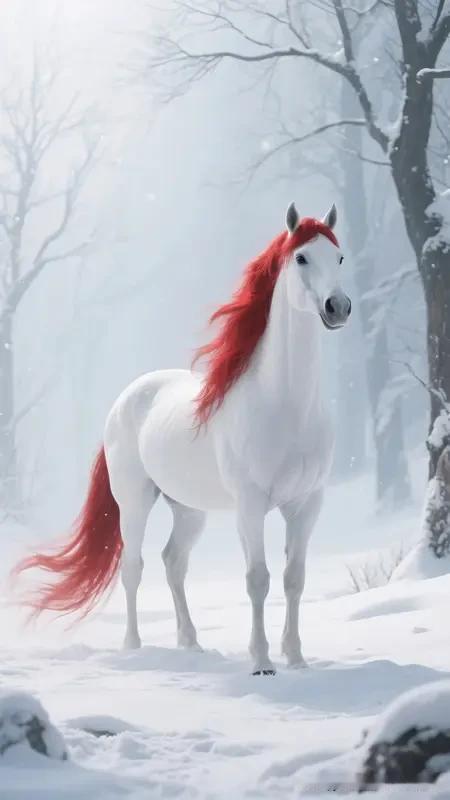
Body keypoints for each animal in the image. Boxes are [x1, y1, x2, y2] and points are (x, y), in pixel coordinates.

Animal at [15, 202, 351, 675]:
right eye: (302, 258)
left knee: (174, 563)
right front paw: (262, 661)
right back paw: (134, 646)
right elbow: (258, 579)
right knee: (133, 566)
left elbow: (294, 579)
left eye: (338, 257)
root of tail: (124, 400)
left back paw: (191, 642)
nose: (337, 306)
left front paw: (297, 658)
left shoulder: (306, 504)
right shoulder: (250, 506)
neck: (285, 404)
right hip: (134, 502)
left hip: (189, 510)